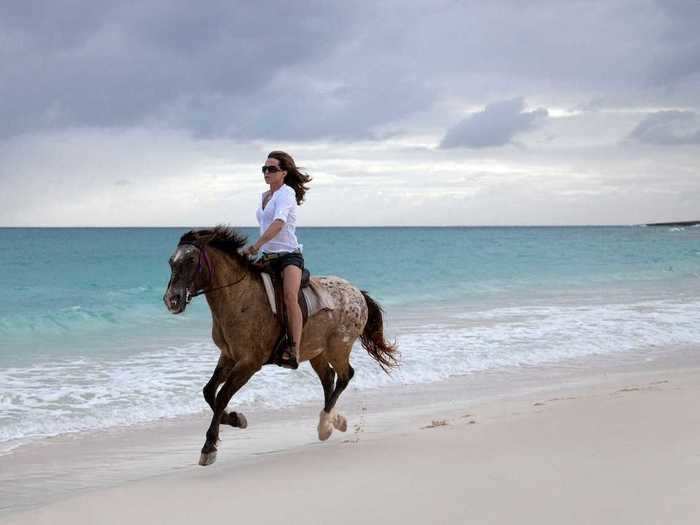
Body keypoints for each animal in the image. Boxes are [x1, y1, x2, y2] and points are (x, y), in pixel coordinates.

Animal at [161, 227, 396, 464]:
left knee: (345, 376)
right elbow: (209, 392)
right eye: (171, 261)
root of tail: (358, 293)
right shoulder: (228, 355)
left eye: (191, 260)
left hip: (338, 348)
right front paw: (236, 419)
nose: (172, 300)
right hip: (316, 351)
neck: (239, 298)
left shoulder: (249, 363)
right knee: (329, 378)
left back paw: (325, 425)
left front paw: (209, 446)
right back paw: (331, 422)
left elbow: (221, 397)